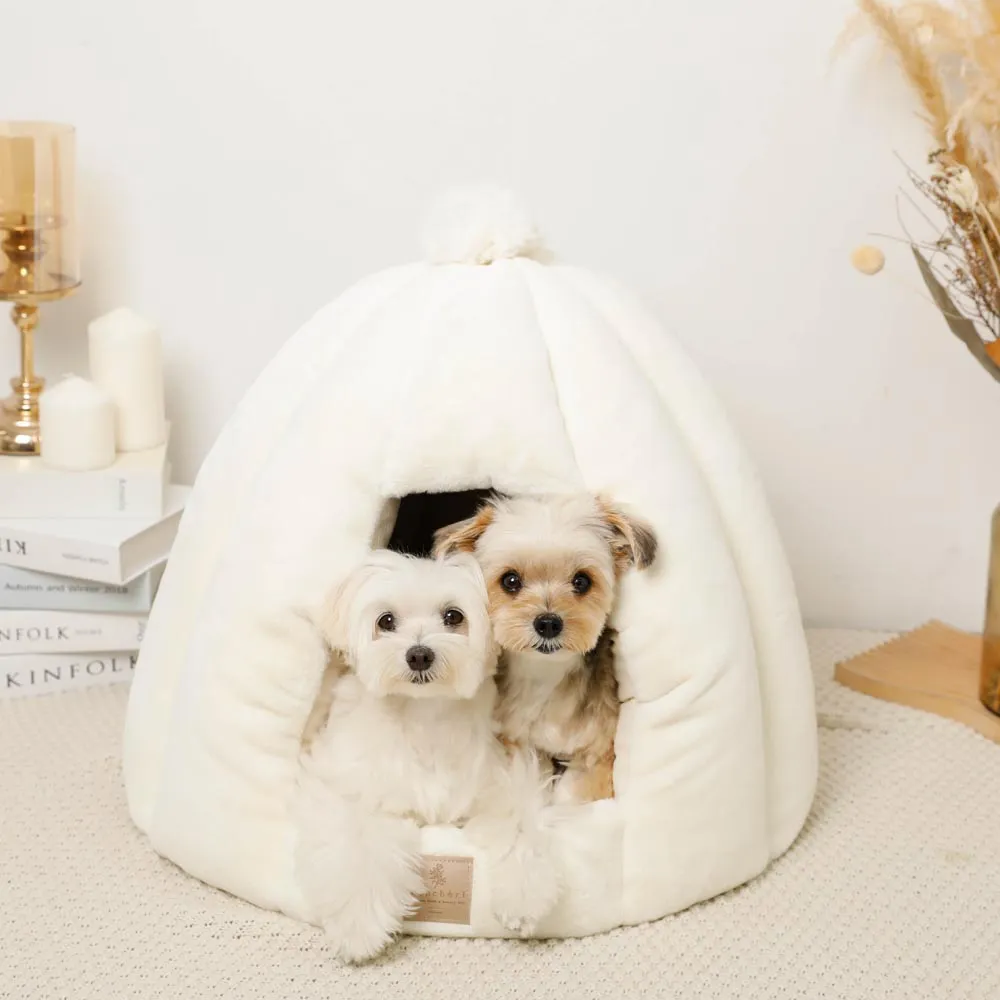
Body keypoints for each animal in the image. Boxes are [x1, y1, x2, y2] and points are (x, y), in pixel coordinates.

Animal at [296, 552, 564, 964]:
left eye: (454, 616)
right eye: (385, 620)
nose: (419, 654)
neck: (424, 715)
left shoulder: (500, 774)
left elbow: (520, 818)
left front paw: (524, 894)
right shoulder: (349, 783)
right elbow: (357, 843)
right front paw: (359, 925)